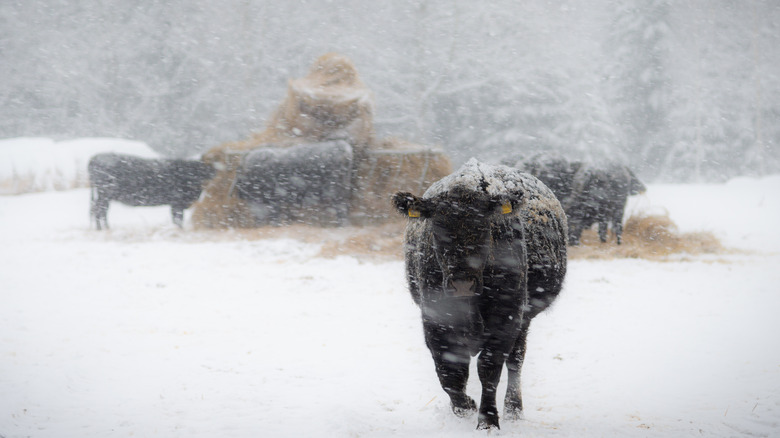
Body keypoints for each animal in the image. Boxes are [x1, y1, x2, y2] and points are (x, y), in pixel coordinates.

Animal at [390, 159, 568, 430]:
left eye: (484, 227)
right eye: (437, 228)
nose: (462, 284)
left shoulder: (505, 320)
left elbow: (489, 369)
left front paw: (488, 421)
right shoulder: (435, 322)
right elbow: (450, 374)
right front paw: (465, 407)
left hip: (524, 319)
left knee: (516, 361)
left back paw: (514, 409)